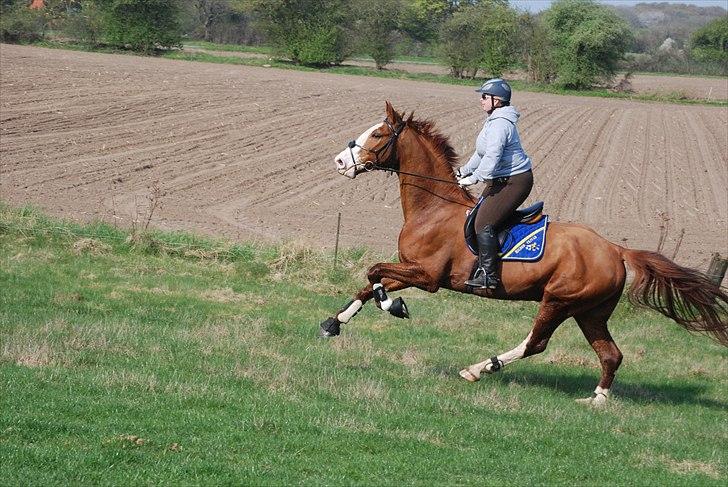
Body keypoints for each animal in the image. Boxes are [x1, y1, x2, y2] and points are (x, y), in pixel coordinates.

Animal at [322, 101, 728, 406]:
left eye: (377, 133)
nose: (340, 162)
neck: (432, 208)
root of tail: (616, 249)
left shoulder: (427, 276)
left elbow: (374, 273)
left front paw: (394, 307)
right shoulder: (410, 268)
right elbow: (370, 281)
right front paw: (335, 322)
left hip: (559, 301)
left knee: (536, 343)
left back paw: (480, 368)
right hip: (591, 311)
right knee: (610, 354)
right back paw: (596, 399)